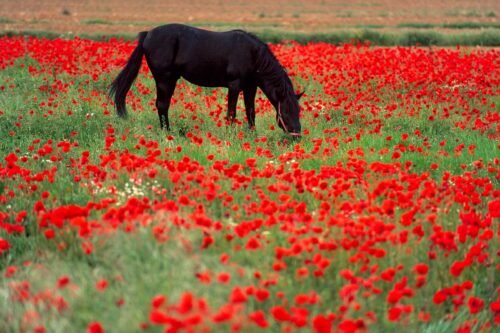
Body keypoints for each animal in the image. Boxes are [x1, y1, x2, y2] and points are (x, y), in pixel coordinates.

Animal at [109, 23, 302, 136]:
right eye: (286, 112)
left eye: (298, 111)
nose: (297, 136)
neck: (252, 54)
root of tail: (148, 34)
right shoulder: (234, 85)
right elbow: (231, 113)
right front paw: (230, 135)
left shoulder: (250, 87)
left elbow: (250, 112)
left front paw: (252, 135)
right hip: (164, 79)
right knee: (162, 105)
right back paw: (168, 133)